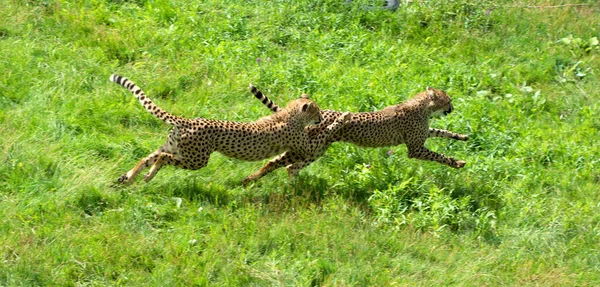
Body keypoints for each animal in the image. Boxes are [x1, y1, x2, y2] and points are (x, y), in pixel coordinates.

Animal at [110, 75, 352, 183]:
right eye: (316, 110)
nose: (319, 117)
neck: (290, 115)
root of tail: (189, 121)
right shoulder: (305, 144)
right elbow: (326, 132)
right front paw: (344, 117)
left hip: (174, 147)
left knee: (147, 157)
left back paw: (129, 177)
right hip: (196, 159)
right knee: (163, 159)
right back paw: (147, 176)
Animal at [243, 86, 468, 183]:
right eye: (448, 100)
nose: (452, 108)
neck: (423, 107)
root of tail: (318, 113)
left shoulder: (423, 135)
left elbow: (441, 132)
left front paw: (462, 136)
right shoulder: (415, 148)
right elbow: (438, 155)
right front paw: (456, 162)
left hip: (314, 150)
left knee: (290, 166)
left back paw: (294, 185)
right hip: (310, 147)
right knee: (277, 162)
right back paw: (253, 180)